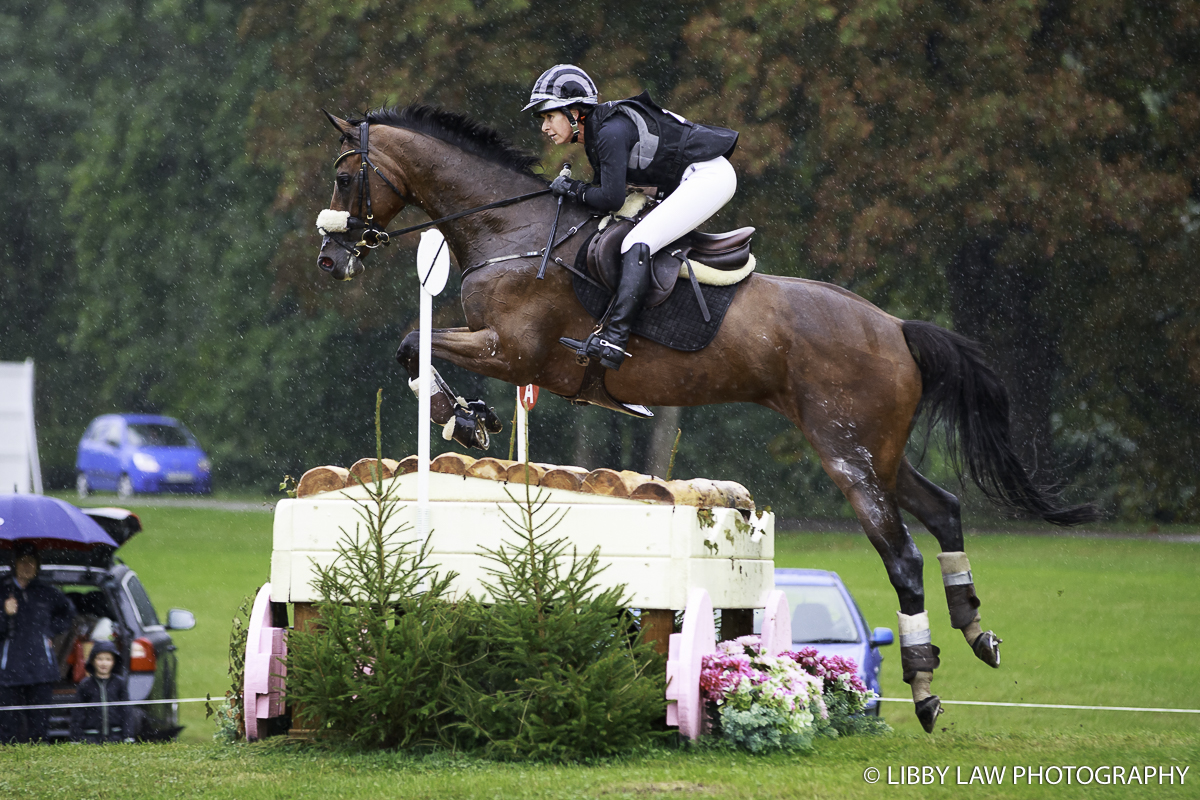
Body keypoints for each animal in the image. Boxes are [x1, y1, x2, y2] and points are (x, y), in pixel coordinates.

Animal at [316, 104, 1099, 734]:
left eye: (346, 177)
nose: (330, 260)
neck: (512, 225)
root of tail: (896, 327)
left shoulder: (515, 351)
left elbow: (413, 342)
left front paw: (460, 420)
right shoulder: (508, 353)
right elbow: (413, 344)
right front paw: (470, 419)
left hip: (844, 450)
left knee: (901, 552)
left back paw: (928, 685)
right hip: (879, 447)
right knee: (944, 510)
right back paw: (976, 633)